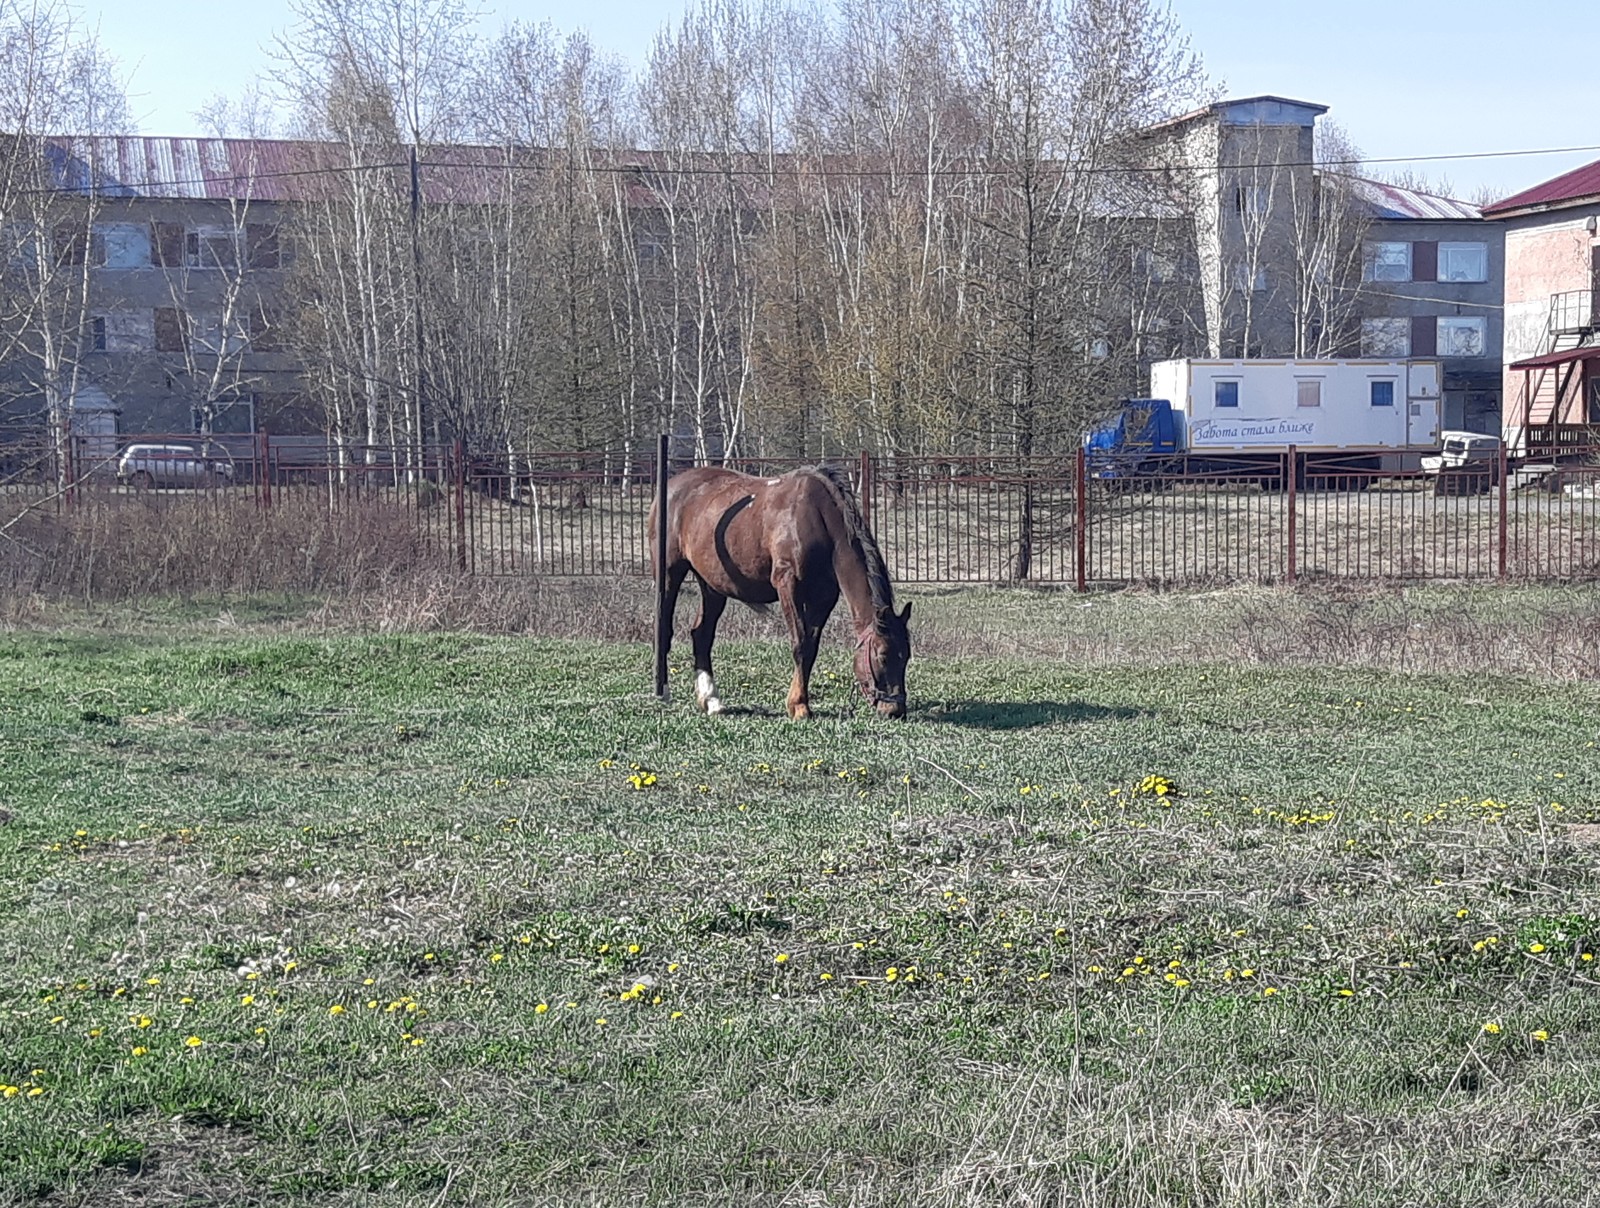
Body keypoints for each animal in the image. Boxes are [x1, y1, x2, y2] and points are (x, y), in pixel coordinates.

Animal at [643, 467, 908, 716]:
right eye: (883, 655)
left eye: (906, 656)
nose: (895, 710)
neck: (817, 517)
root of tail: (671, 486)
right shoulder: (787, 585)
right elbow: (800, 644)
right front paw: (799, 705)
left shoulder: (824, 597)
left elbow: (811, 646)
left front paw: (798, 701)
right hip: (669, 574)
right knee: (664, 629)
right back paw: (663, 691)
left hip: (712, 585)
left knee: (702, 634)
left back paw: (711, 699)